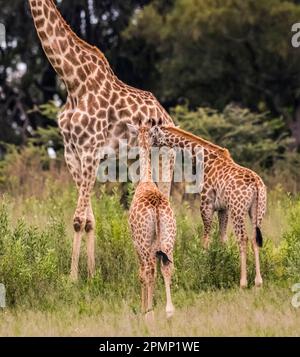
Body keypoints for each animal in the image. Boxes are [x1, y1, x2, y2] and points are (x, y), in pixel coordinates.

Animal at [28, 0, 175, 280]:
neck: (72, 81)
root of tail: (169, 118)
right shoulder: (72, 154)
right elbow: (89, 220)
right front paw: (92, 274)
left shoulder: (90, 151)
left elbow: (78, 220)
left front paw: (73, 278)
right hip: (135, 164)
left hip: (165, 162)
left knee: (168, 204)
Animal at [127, 124, 177, 318]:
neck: (146, 180)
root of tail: (156, 208)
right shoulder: (157, 249)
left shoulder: (136, 244)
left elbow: (142, 274)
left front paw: (143, 308)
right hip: (169, 241)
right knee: (167, 268)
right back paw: (169, 311)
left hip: (144, 243)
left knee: (148, 270)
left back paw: (149, 313)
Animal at [150, 124, 268, 288]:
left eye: (152, 134)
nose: (149, 145)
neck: (204, 161)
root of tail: (256, 184)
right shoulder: (223, 209)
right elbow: (222, 239)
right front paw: (222, 266)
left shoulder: (206, 204)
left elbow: (206, 240)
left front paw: (204, 268)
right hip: (257, 210)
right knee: (255, 238)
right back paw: (258, 281)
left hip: (237, 210)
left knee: (243, 238)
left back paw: (243, 282)